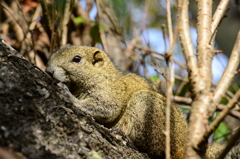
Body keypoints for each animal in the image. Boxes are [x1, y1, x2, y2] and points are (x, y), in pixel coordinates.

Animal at [45, 45, 188, 158]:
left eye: (77, 59)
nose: (49, 71)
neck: (99, 74)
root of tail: (182, 149)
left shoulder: (110, 91)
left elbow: (107, 108)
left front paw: (69, 96)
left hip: (147, 106)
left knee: (154, 152)